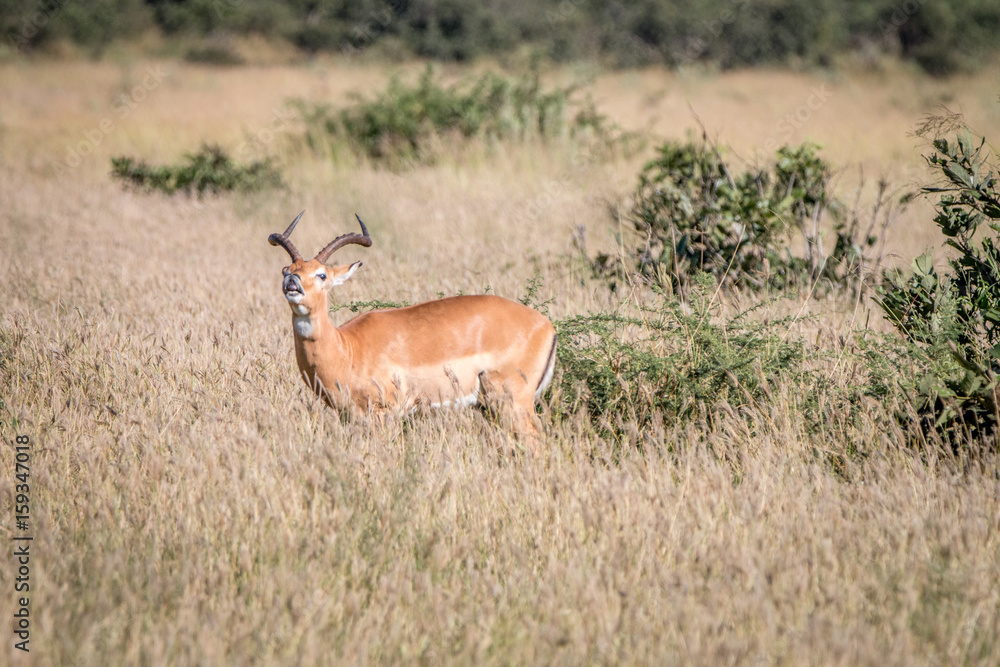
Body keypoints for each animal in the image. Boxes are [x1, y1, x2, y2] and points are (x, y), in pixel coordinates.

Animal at [268, 211, 557, 440]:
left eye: (321, 275)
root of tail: (547, 326)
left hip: (513, 403)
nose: (292, 282)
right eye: (287, 269)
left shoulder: (385, 414)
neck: (348, 348)